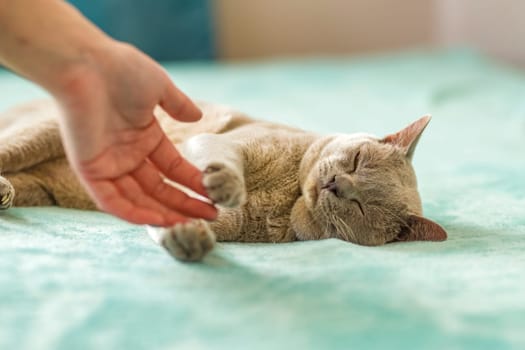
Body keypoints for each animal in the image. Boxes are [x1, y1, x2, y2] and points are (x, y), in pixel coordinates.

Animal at [0, 100, 446, 262]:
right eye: (355, 161)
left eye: (361, 206)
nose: (337, 184)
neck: (286, 196)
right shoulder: (226, 143)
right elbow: (222, 163)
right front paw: (225, 187)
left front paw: (187, 237)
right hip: (41, 135)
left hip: (42, 188)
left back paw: (4, 192)